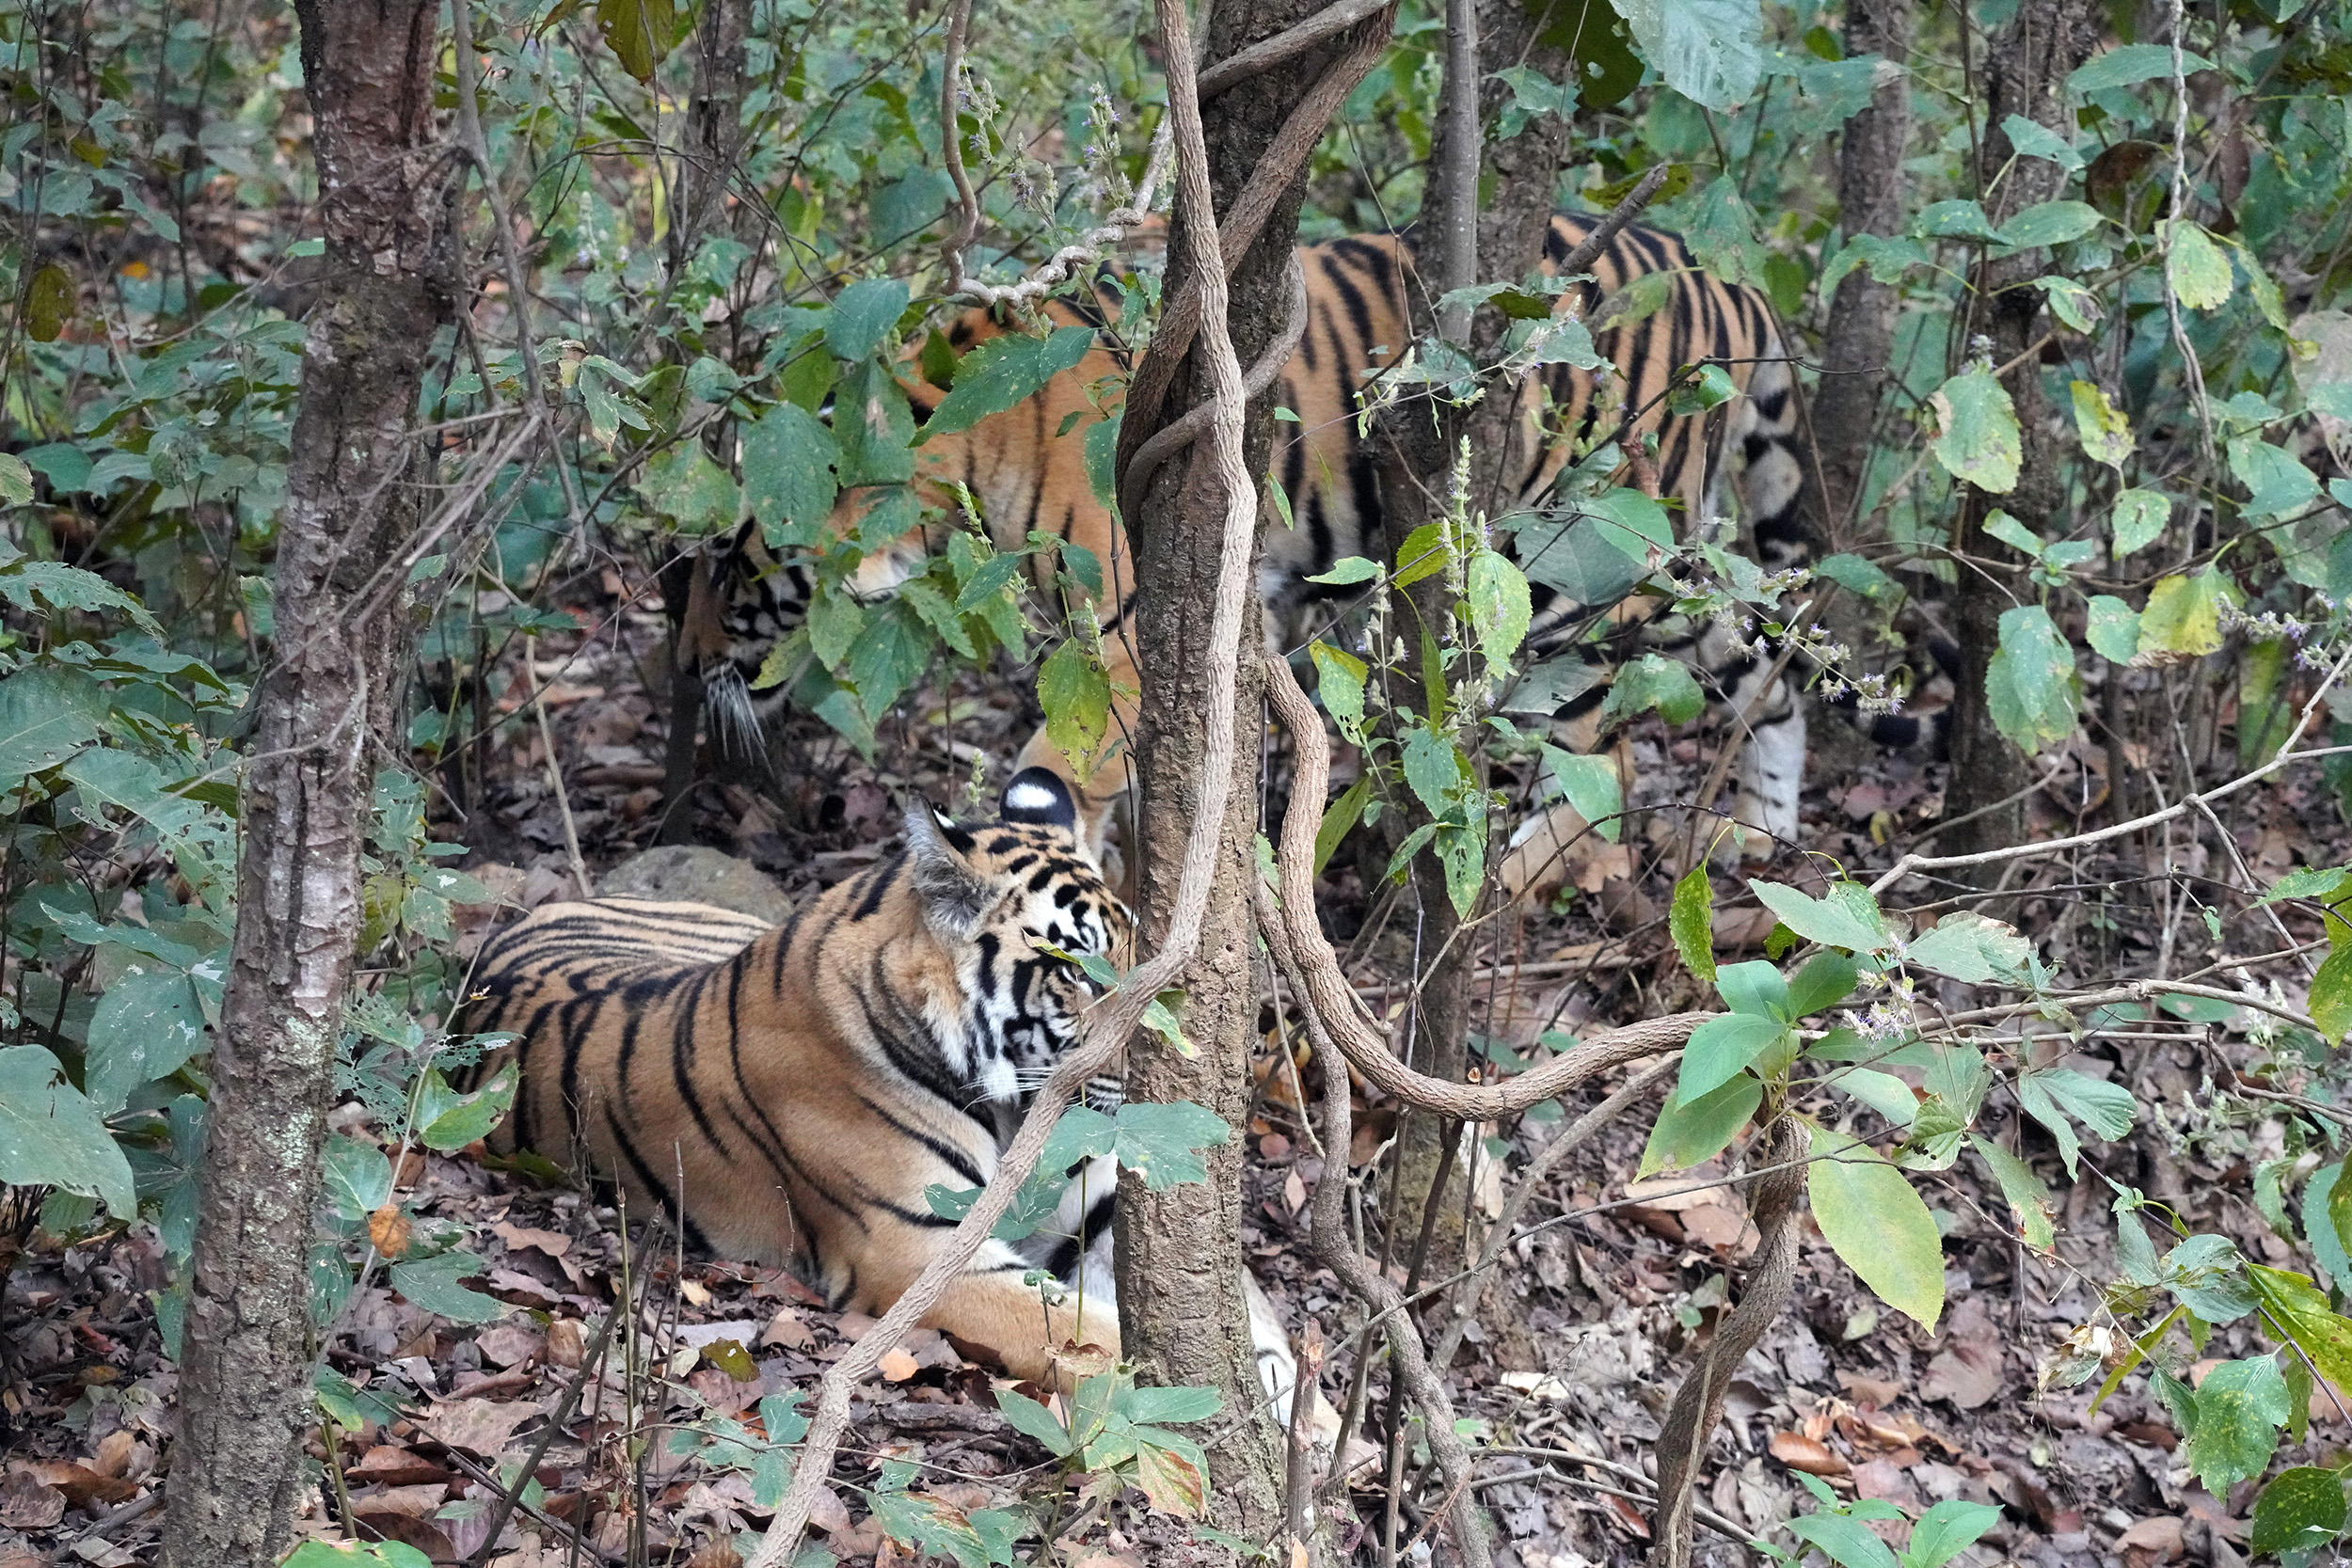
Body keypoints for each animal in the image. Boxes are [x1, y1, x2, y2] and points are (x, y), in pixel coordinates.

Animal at [459, 767, 1301, 1404]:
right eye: (1075, 970)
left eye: (1132, 946)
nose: (1169, 1063)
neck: (1011, 1103)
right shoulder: (920, 1250)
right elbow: (1091, 1333)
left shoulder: (1078, 1206)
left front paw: (1295, 1395)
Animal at [676, 212, 1823, 890]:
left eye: (728, 568)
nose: (685, 668)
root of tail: (1727, 281)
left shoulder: (1130, 633)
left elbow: (1055, 767)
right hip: (1665, 560)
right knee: (1762, 673)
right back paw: (1761, 850)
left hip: (1568, 570)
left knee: (1605, 758)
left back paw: (1503, 888)